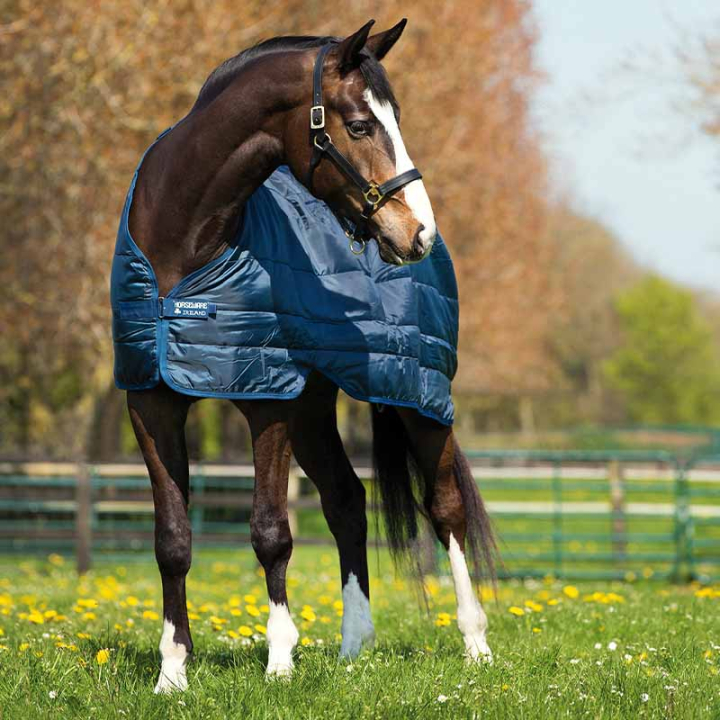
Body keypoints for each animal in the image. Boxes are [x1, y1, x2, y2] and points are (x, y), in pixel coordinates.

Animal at [118, 19, 496, 693]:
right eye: (361, 125)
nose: (418, 233)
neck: (182, 251)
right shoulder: (152, 400)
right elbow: (172, 539)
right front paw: (173, 672)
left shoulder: (266, 400)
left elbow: (271, 531)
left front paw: (280, 663)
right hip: (315, 412)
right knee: (347, 503)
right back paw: (354, 646)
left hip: (417, 394)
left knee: (445, 507)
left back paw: (475, 643)